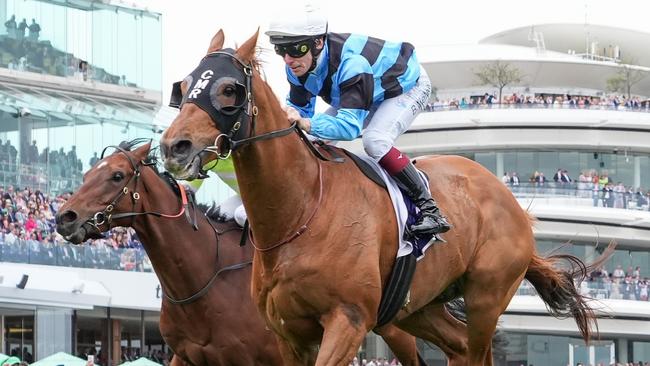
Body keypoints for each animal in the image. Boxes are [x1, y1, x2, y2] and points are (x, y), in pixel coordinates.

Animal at [159, 30, 612, 364]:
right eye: (184, 86)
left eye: (229, 89)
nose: (174, 147)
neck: (300, 212)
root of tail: (509, 199)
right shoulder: (287, 335)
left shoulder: (348, 321)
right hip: (418, 307)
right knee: (457, 345)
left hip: (487, 296)